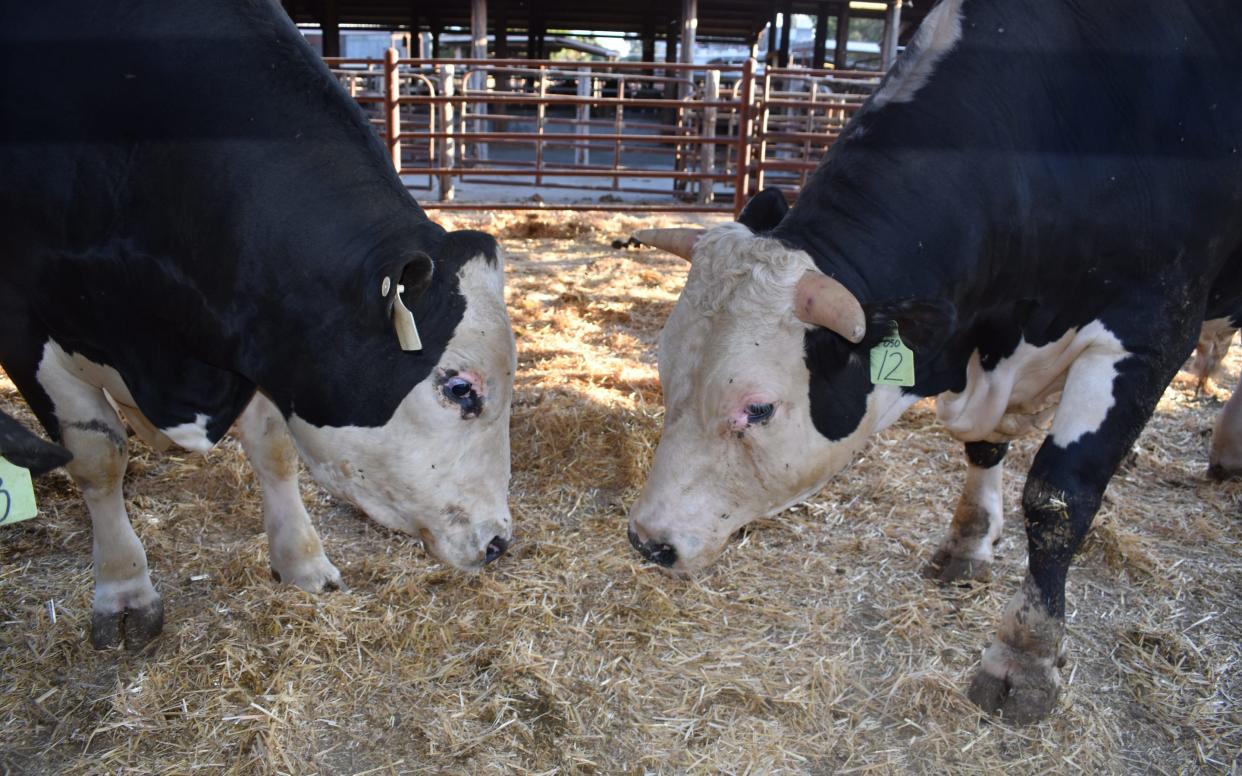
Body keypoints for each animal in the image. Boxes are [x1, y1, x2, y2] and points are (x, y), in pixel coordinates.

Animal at [0, 1, 514, 645]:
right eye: (460, 389)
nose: (498, 542)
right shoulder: (27, 328)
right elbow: (98, 460)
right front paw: (123, 593)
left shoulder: (269, 339)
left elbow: (273, 448)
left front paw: (302, 561)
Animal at [630, 0, 1242, 720]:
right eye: (666, 373)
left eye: (757, 409)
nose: (647, 539)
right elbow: (983, 446)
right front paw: (968, 546)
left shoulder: (1147, 334)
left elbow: (1058, 498)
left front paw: (1026, 655)